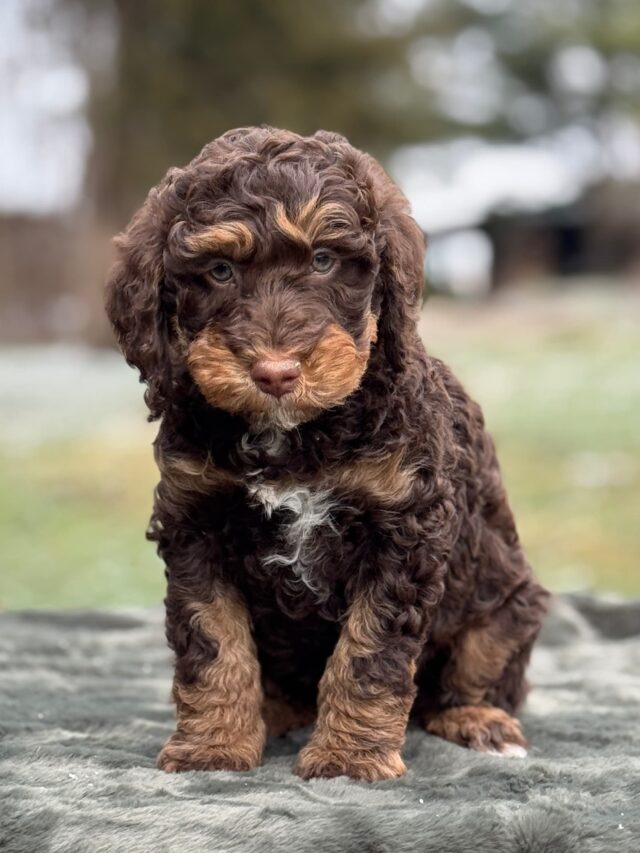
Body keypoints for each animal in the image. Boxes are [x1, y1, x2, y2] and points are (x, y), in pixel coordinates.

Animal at [106, 125, 552, 780]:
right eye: (219, 271)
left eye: (323, 260)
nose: (275, 372)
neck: (291, 439)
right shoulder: (195, 524)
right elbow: (213, 643)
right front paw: (213, 747)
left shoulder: (404, 530)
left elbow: (369, 653)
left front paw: (349, 758)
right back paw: (273, 712)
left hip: (506, 603)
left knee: (474, 673)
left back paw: (478, 721)